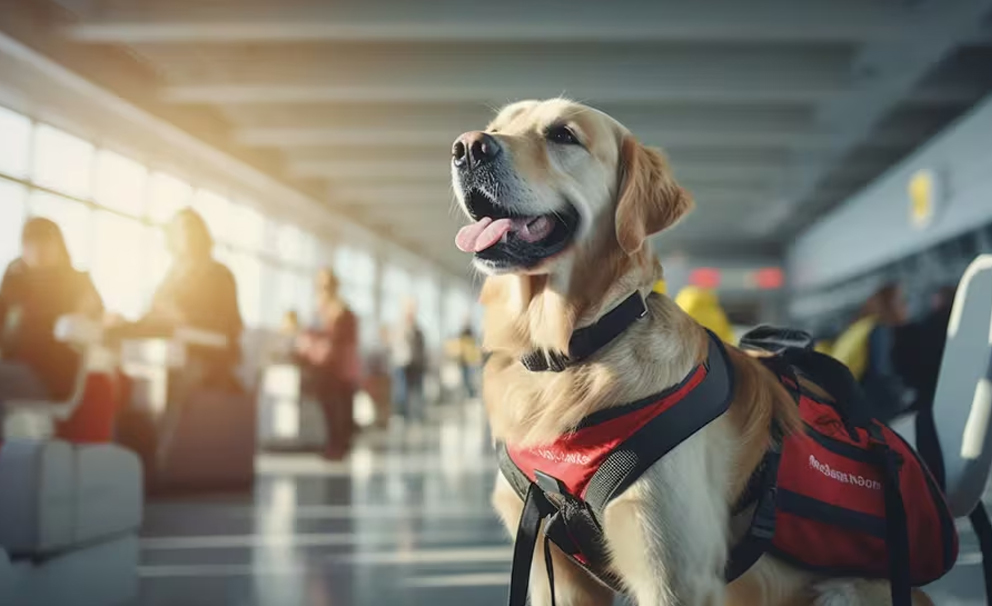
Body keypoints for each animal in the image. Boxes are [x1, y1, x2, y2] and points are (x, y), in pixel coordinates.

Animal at [450, 97, 928, 604]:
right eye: (495, 126)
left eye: (563, 135)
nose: (468, 148)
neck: (569, 354)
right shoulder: (555, 573)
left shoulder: (674, 572)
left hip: (844, 590)